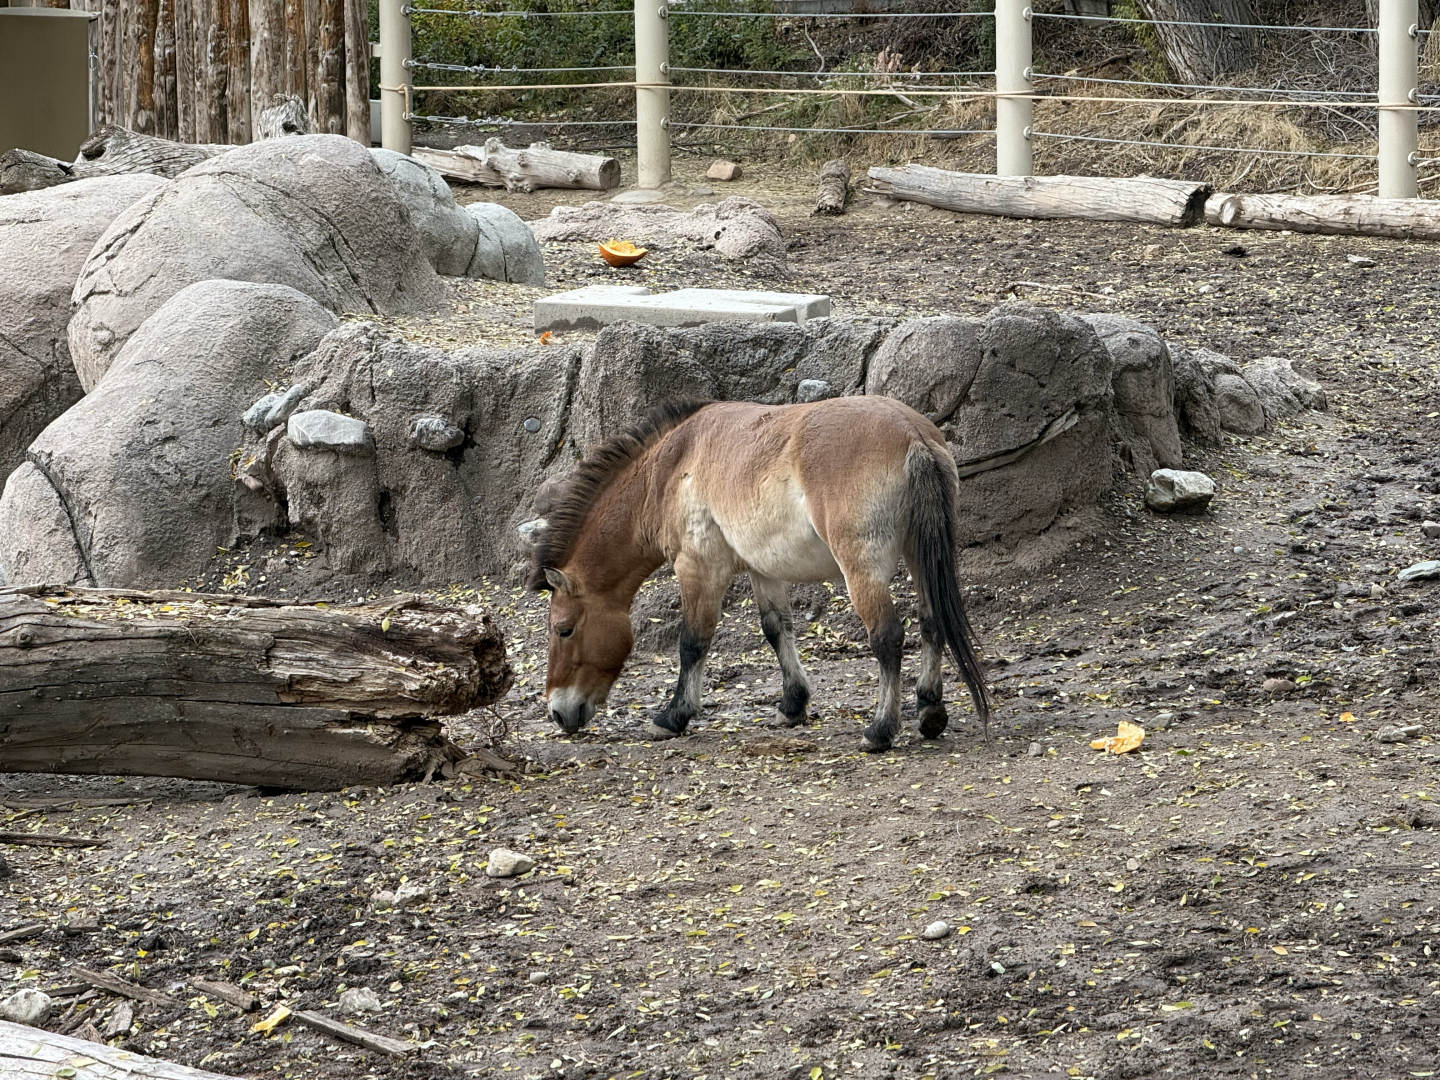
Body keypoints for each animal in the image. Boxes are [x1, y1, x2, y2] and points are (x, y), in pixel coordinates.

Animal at [526, 396, 990, 752]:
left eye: (564, 629)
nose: (558, 712)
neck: (673, 466)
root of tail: (912, 434)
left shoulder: (698, 568)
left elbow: (692, 643)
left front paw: (673, 716)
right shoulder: (762, 570)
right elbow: (776, 630)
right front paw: (792, 705)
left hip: (862, 568)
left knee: (888, 637)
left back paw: (879, 730)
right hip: (918, 558)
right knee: (931, 623)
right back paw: (929, 711)